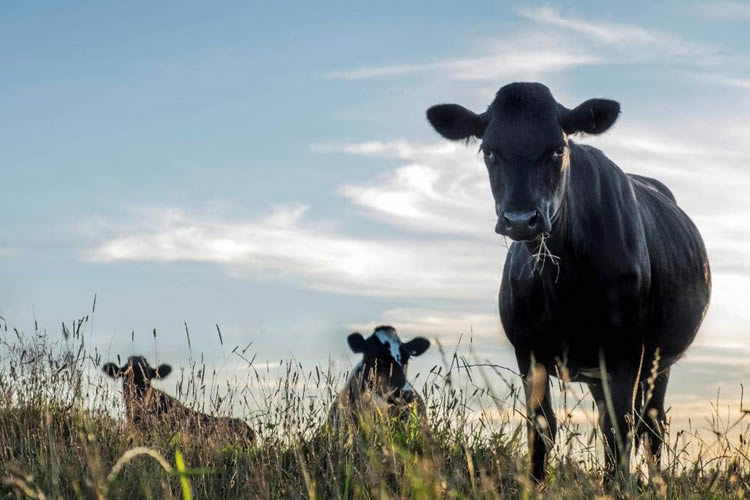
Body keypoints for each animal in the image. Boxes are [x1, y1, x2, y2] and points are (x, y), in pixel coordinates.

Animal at [428, 83, 712, 484]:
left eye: (557, 149)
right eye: (489, 151)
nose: (520, 219)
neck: (564, 288)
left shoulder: (626, 351)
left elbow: (620, 430)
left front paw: (619, 486)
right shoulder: (528, 351)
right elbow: (542, 425)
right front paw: (535, 484)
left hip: (659, 360)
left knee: (651, 426)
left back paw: (656, 483)